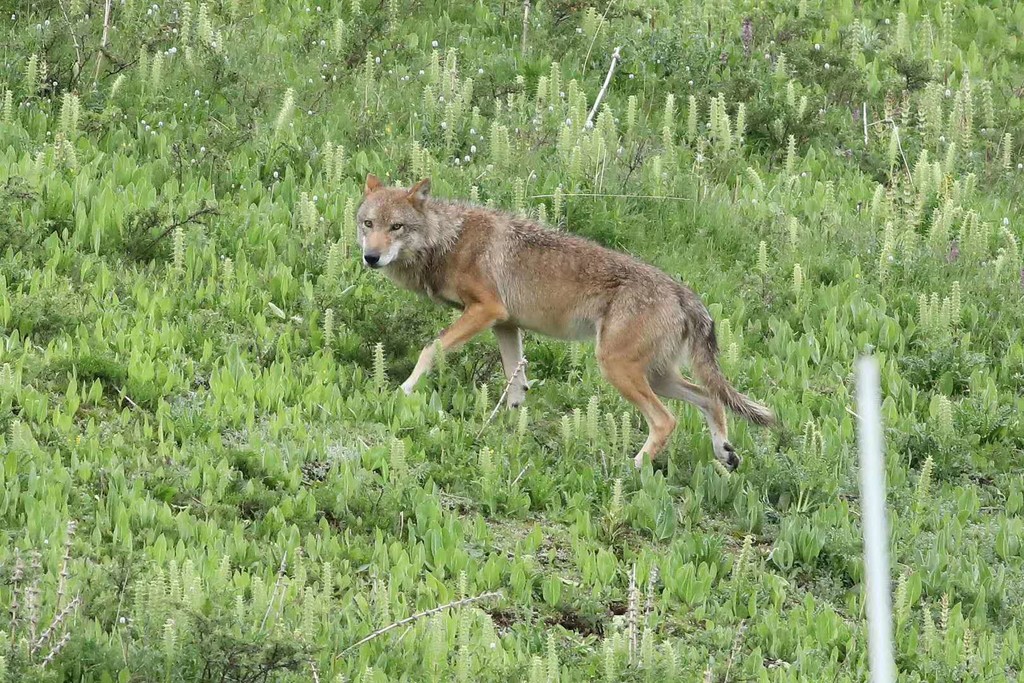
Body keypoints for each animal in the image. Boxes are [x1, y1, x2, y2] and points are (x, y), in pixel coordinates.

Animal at [356, 175, 770, 471]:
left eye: (396, 227)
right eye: (368, 223)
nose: (370, 258)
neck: (448, 239)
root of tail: (684, 294)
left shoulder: (485, 310)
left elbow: (430, 349)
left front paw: (403, 391)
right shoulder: (505, 324)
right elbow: (516, 385)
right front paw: (514, 428)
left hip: (620, 370)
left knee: (667, 420)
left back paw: (633, 467)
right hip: (656, 377)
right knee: (710, 399)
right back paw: (725, 453)